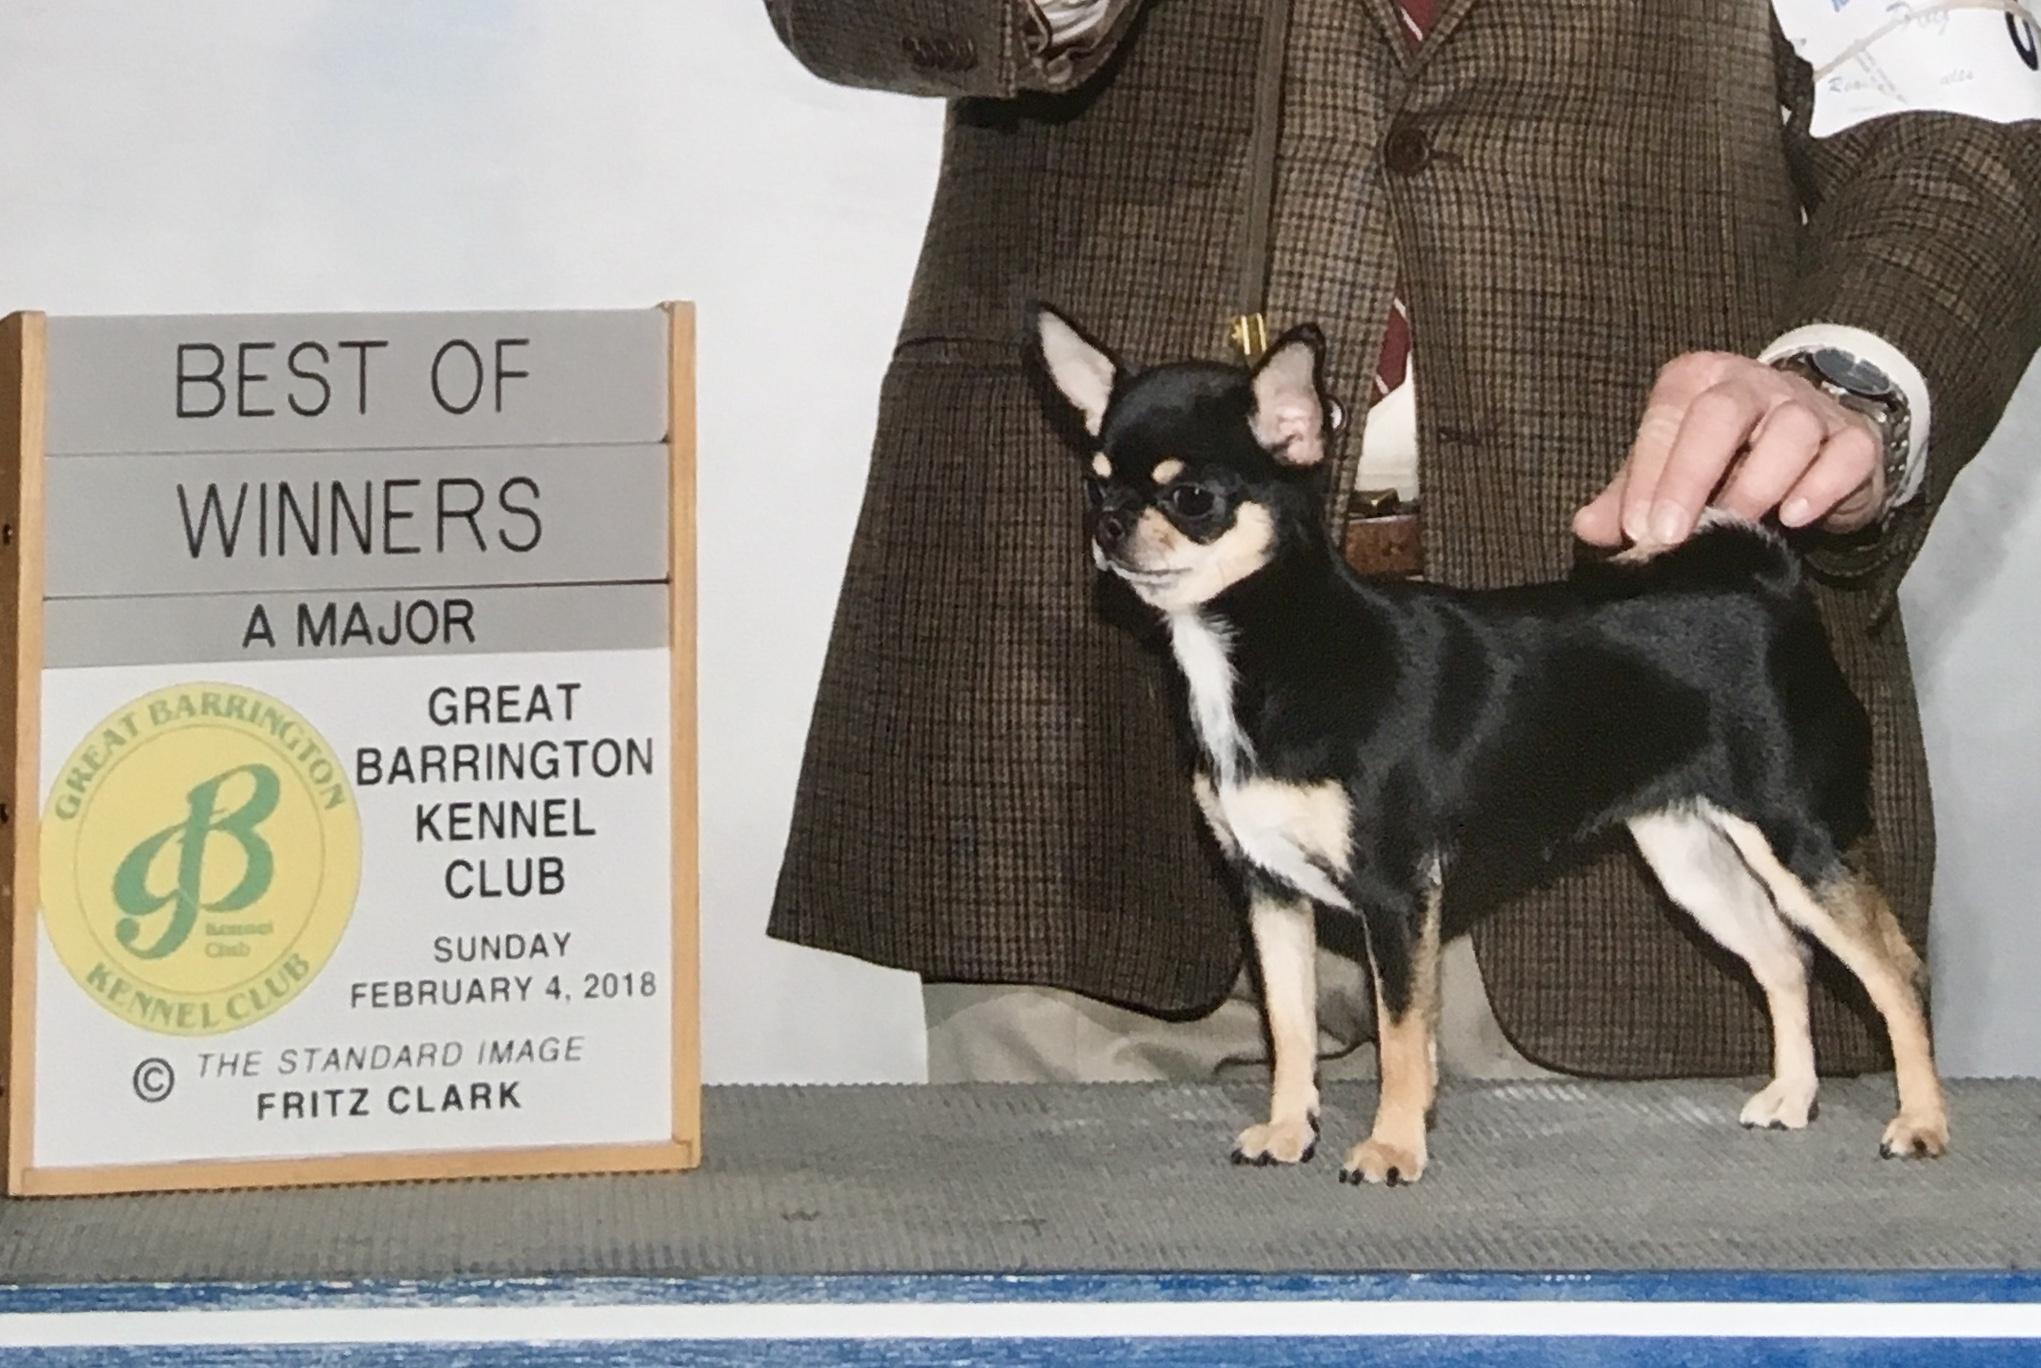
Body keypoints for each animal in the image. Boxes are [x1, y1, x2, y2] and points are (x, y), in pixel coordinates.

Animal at [1029, 303, 1948, 1186]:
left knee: (1893, 971)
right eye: (1093, 485)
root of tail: (1771, 585)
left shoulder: (1396, 895)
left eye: (1191, 499)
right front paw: (1290, 1133)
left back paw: (1920, 1123)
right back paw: (1791, 1096)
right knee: (1783, 958)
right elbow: (1287, 1031)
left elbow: (1401, 1039)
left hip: (1799, 837)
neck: (1270, 650)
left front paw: (1392, 1149)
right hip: (1689, 854)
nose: (1109, 527)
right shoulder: (1270, 892)